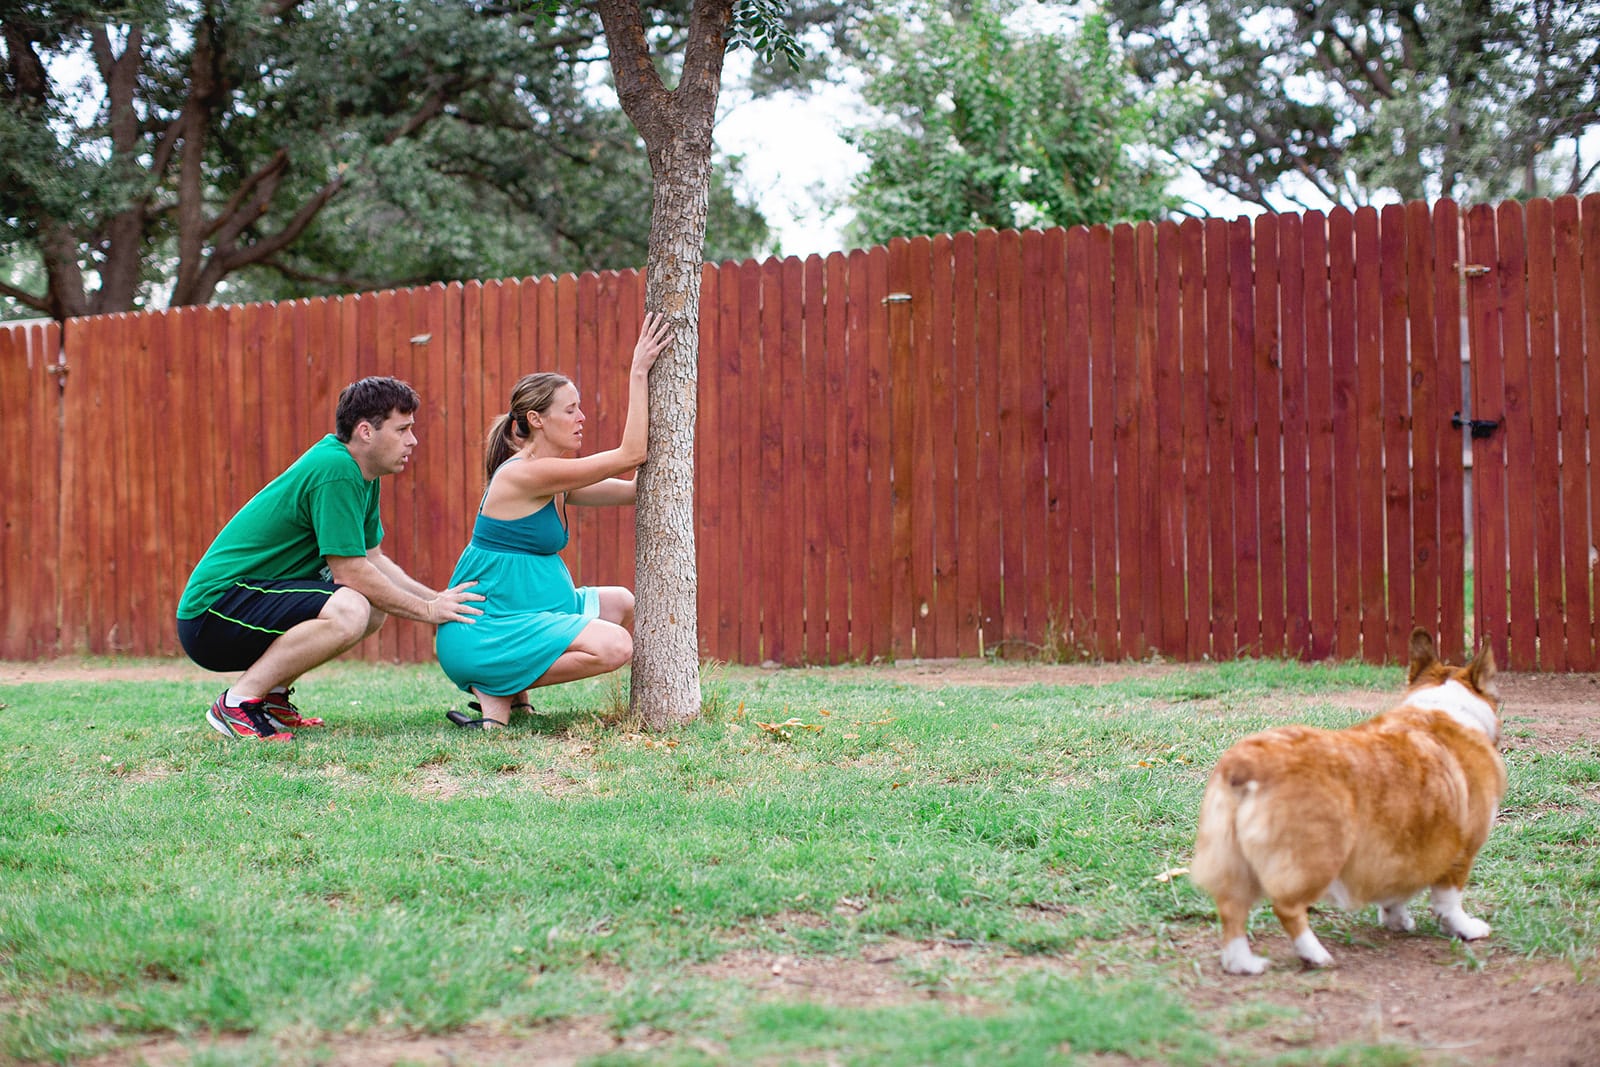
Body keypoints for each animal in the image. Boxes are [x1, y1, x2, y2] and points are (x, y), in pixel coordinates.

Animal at [1196, 627, 1504, 979]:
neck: (1444, 707)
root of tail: (1245, 764)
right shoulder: (1460, 853)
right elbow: (1450, 901)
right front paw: (1466, 929)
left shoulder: (1400, 850)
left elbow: (1396, 893)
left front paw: (1397, 921)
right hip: (1317, 856)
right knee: (1286, 907)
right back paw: (1315, 955)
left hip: (1236, 860)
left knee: (1232, 908)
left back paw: (1242, 964)